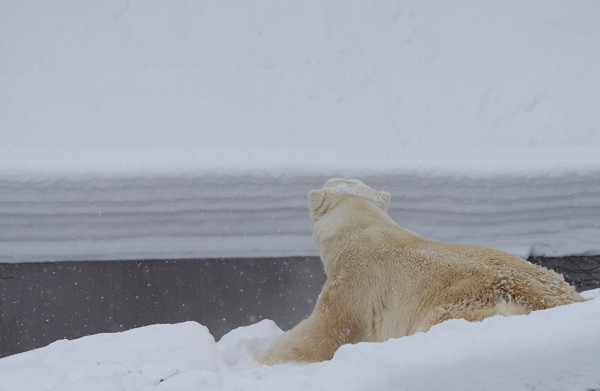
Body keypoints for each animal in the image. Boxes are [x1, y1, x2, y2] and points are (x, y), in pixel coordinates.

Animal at [262, 179, 580, 366]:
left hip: (467, 304)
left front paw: (268, 354)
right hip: (553, 280)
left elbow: (325, 331)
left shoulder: (353, 284)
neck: (362, 228)